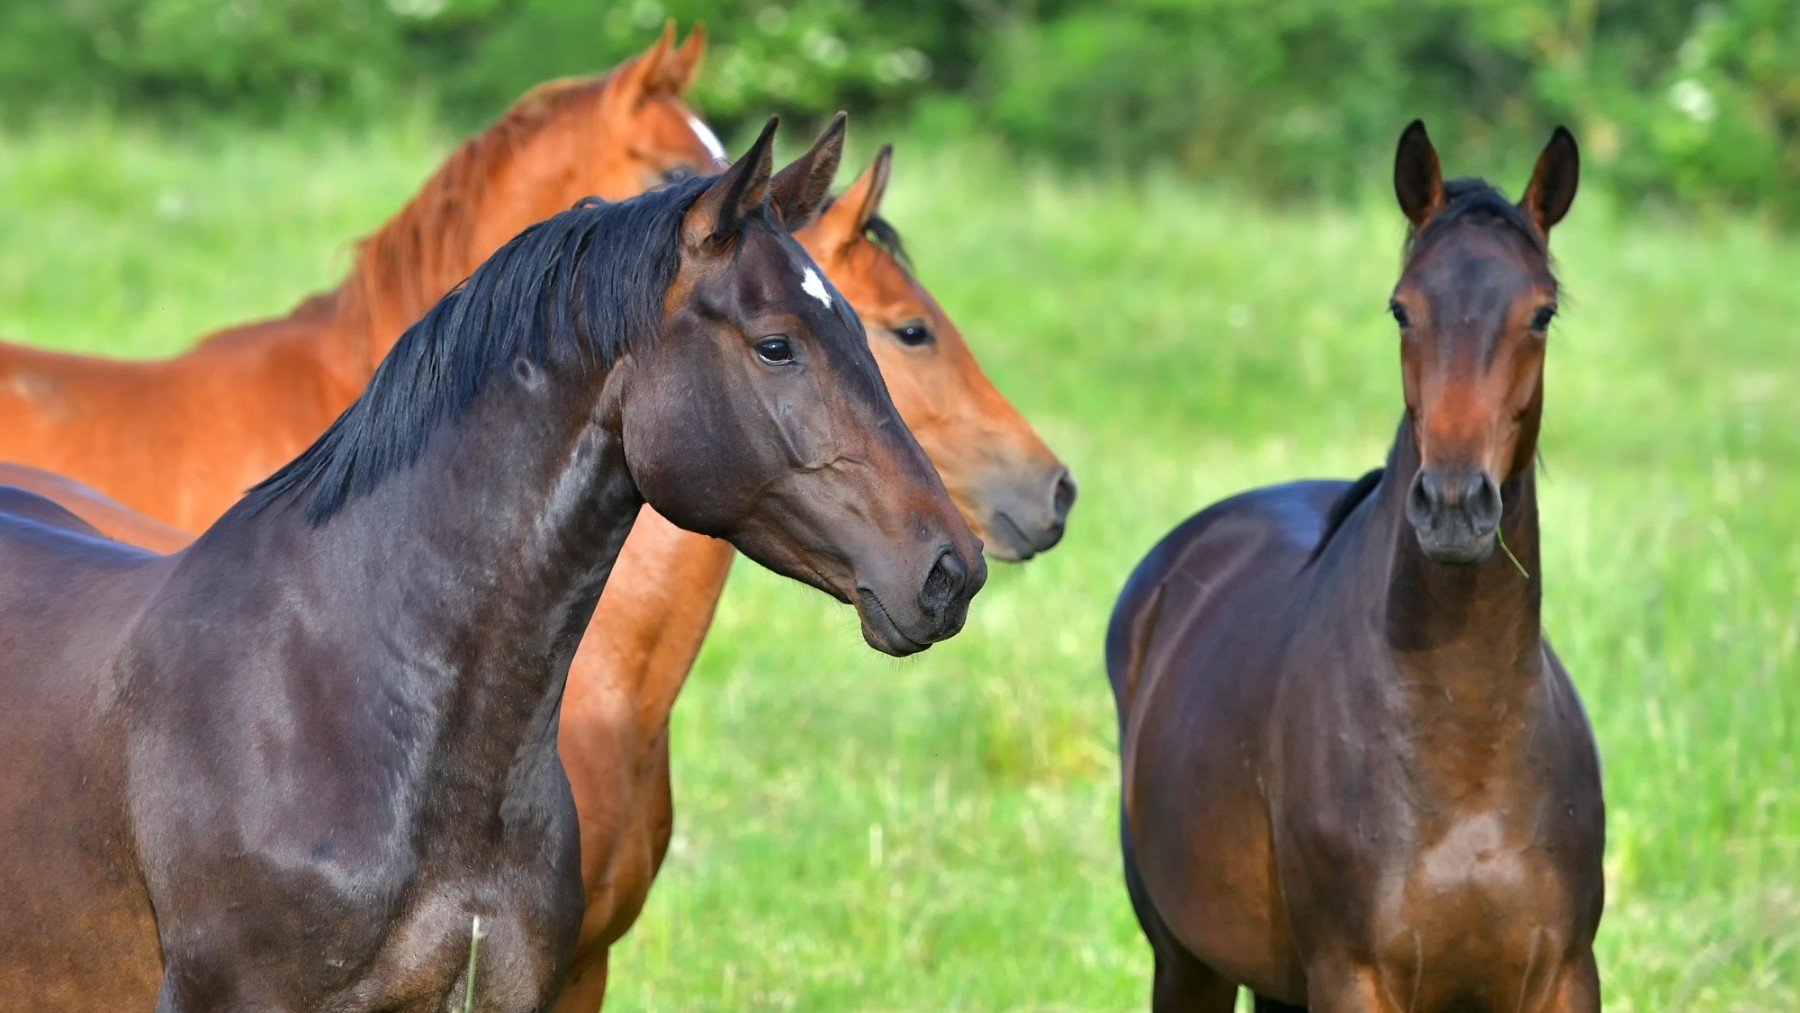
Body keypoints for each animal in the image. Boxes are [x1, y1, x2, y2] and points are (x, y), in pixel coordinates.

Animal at [1106, 123, 1603, 1011]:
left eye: (1540, 313)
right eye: (1402, 307)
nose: (1453, 504)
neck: (1468, 752)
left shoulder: (1565, 979)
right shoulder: (1352, 978)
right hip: (1189, 960)